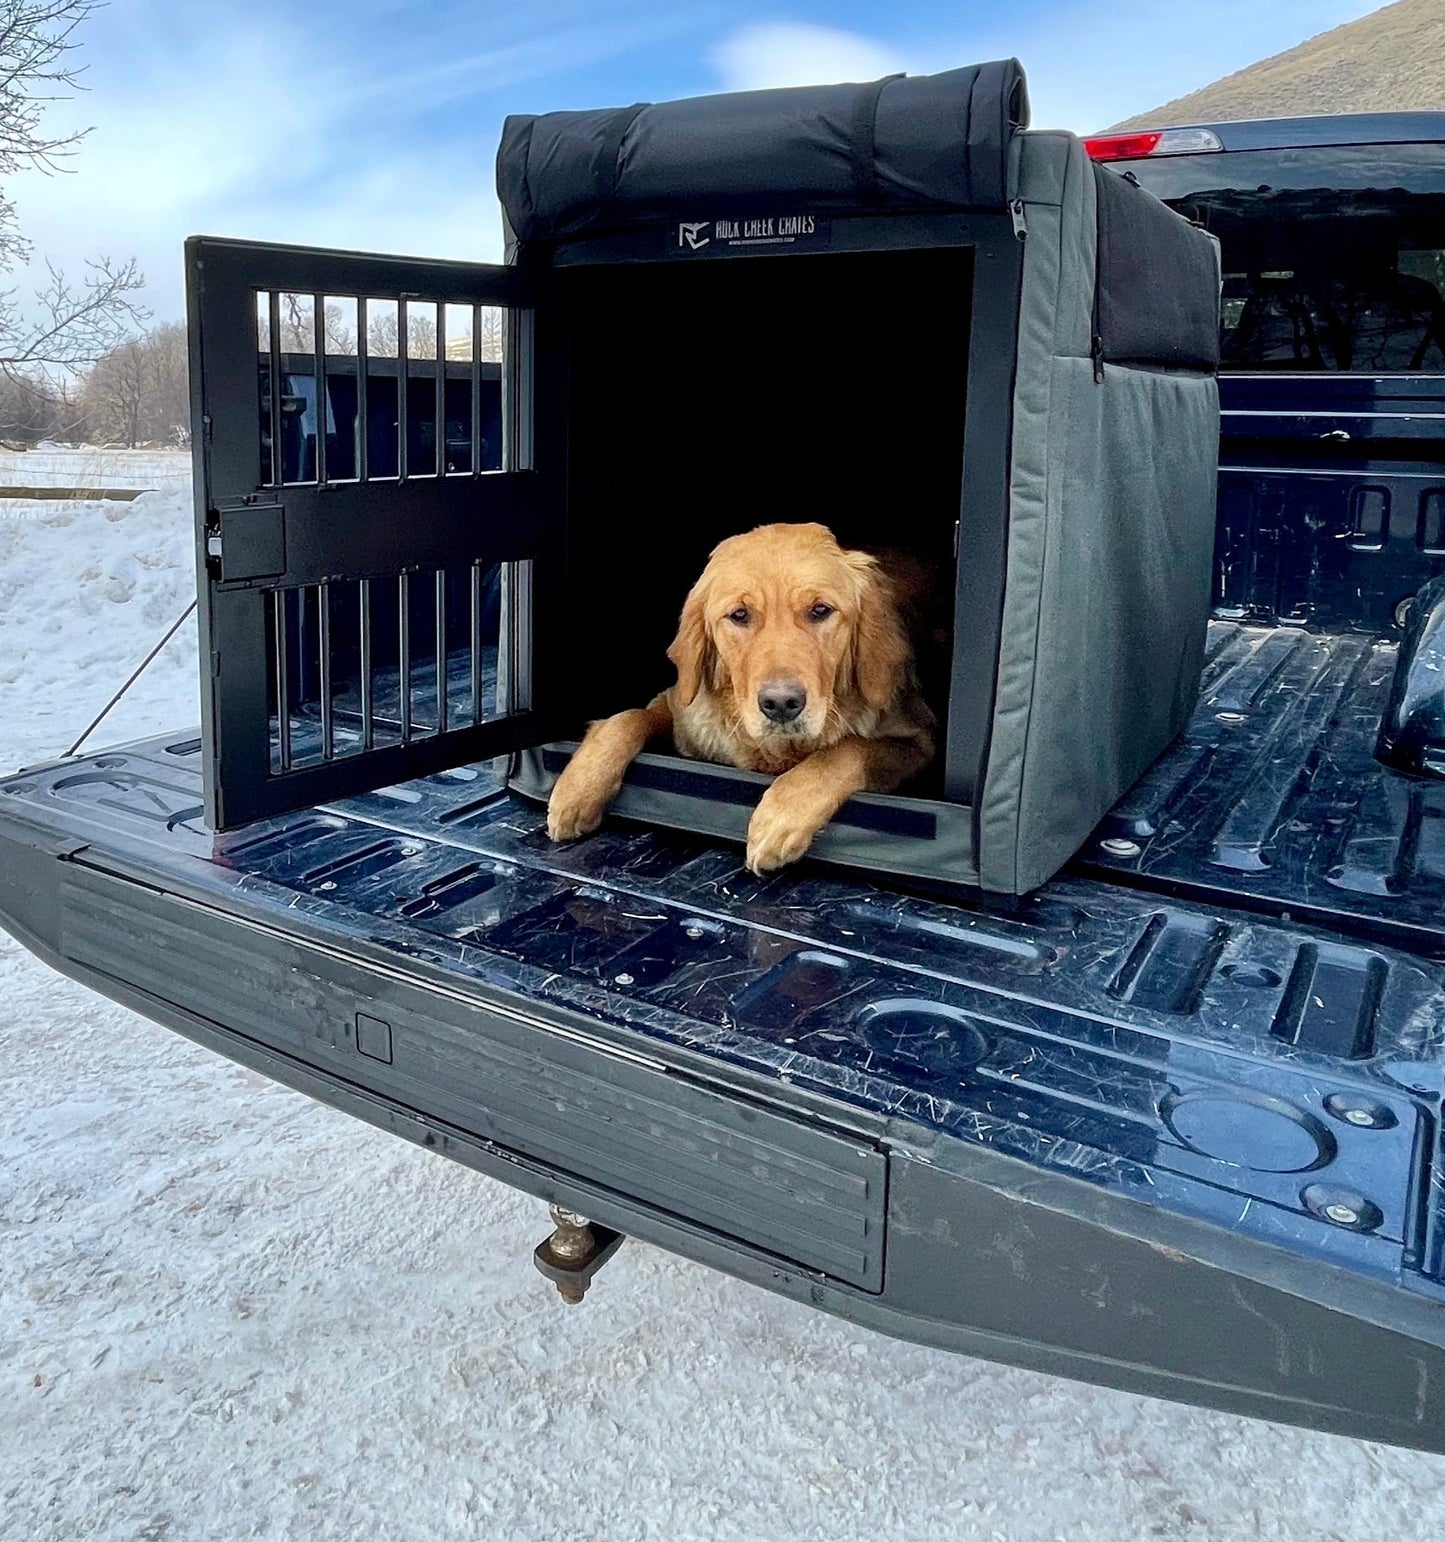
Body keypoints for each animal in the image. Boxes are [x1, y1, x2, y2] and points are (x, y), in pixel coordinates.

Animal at [542, 524, 937, 875]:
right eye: (740, 615)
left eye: (821, 610)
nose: (781, 704)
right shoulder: (680, 708)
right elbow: (628, 717)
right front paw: (576, 791)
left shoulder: (918, 741)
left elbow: (845, 750)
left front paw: (780, 819)